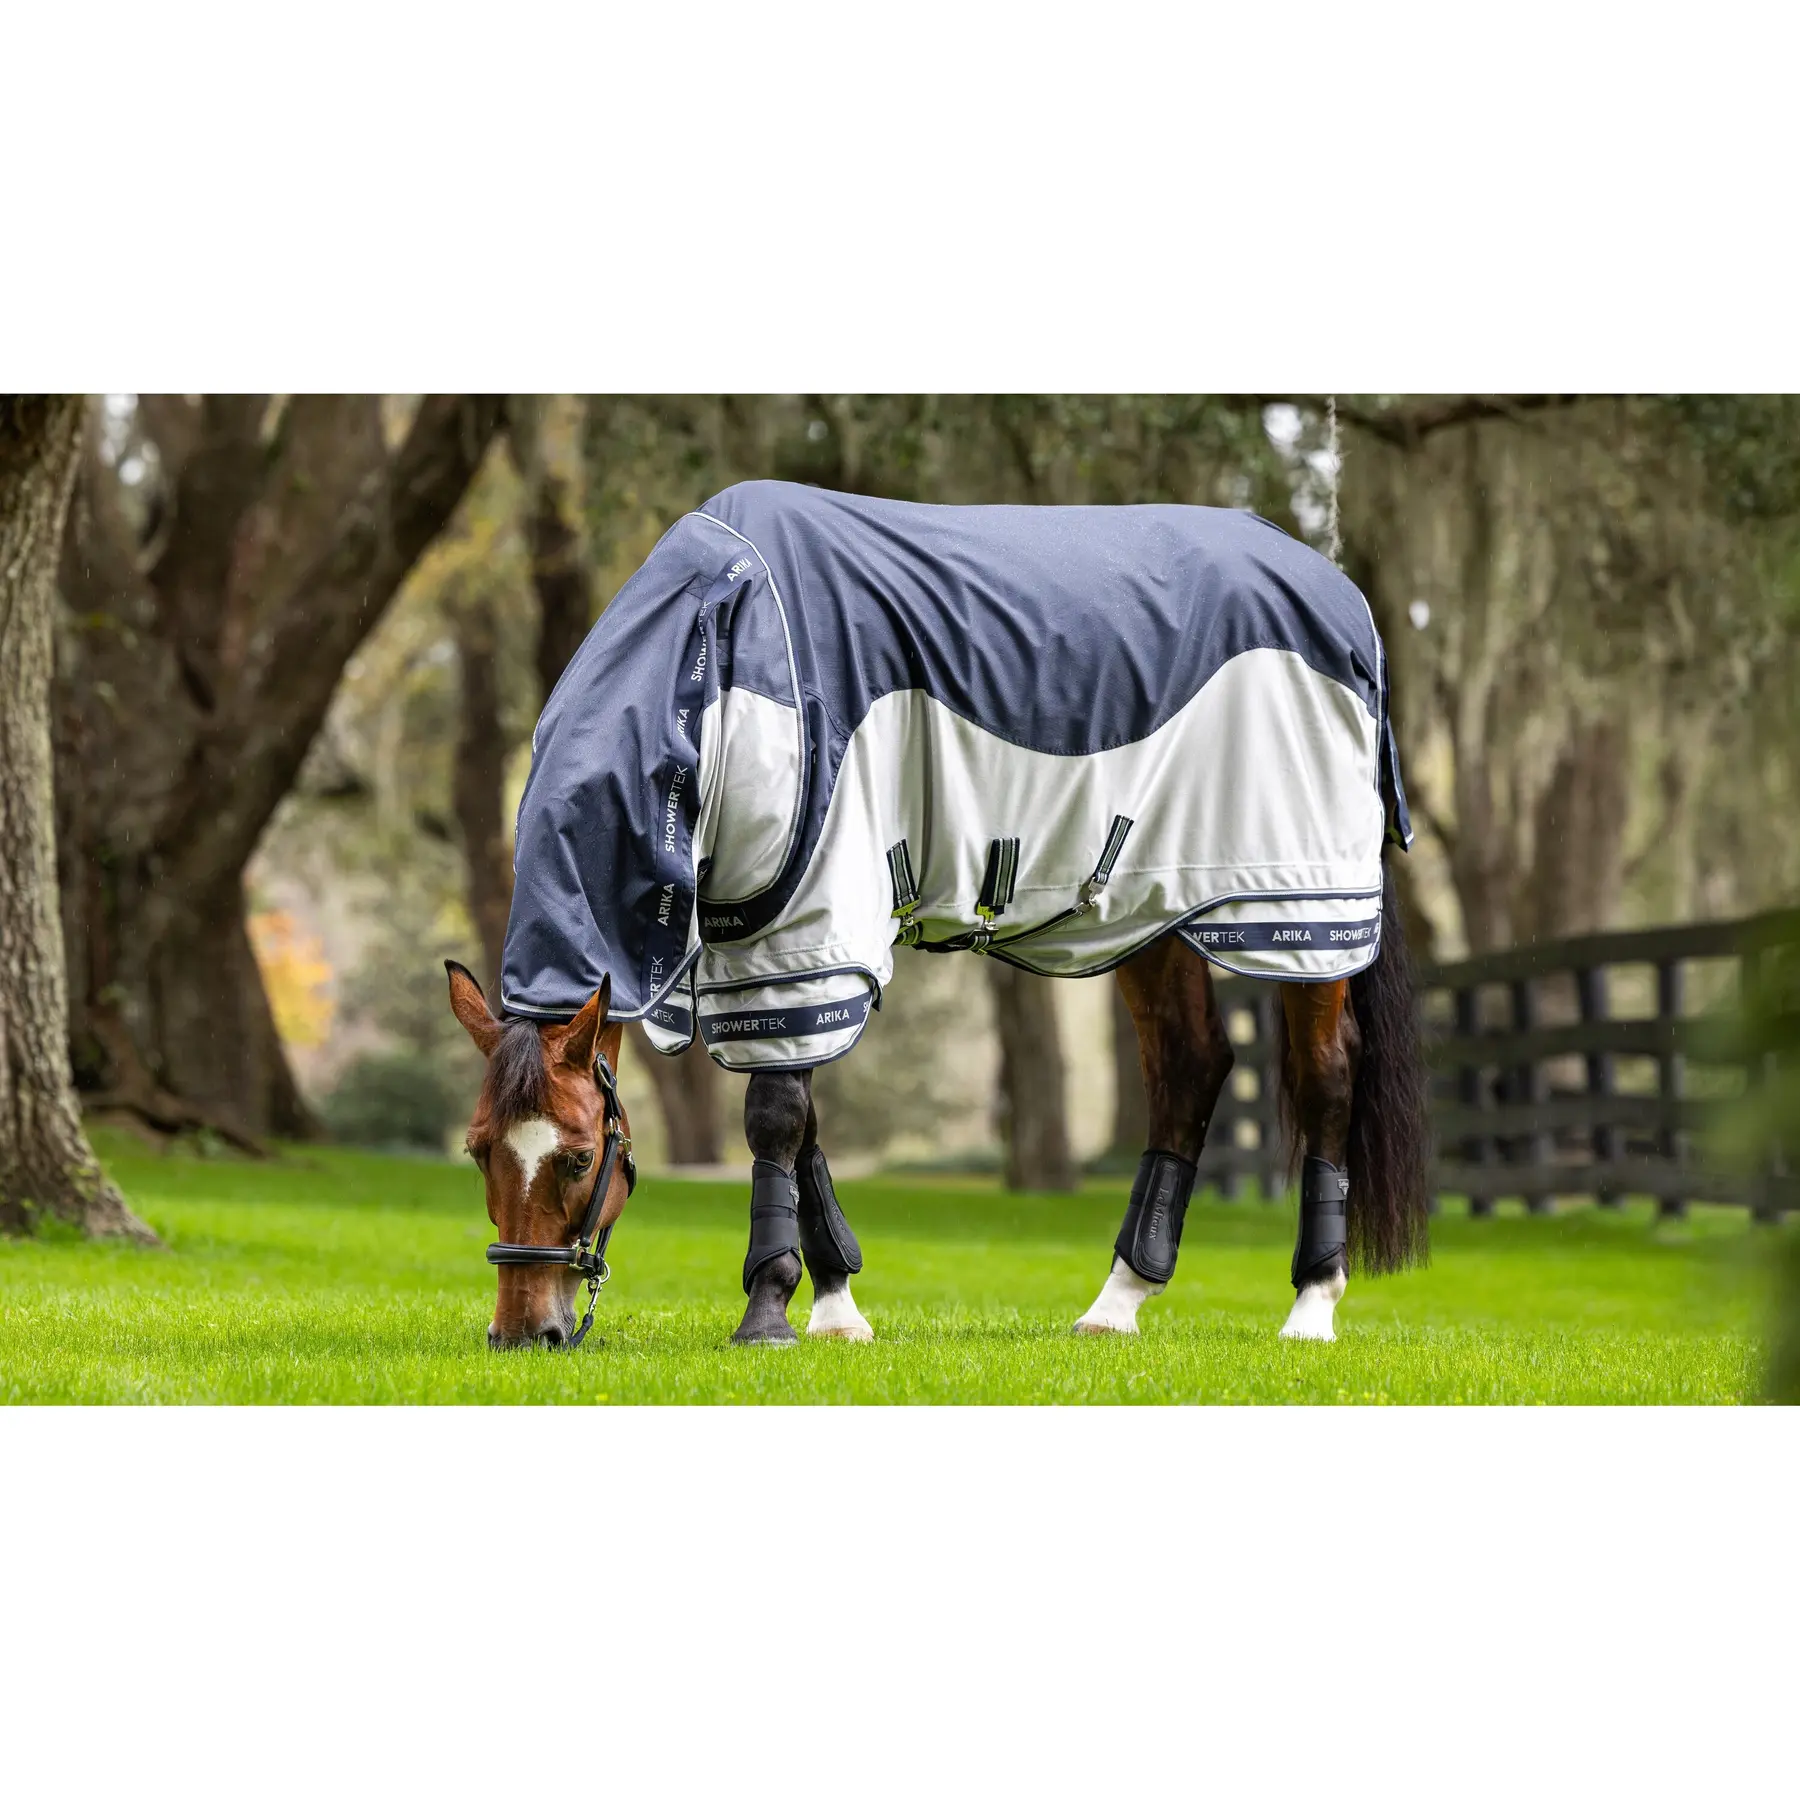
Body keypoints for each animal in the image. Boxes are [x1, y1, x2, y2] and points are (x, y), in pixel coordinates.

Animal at [451, 481, 1432, 1349]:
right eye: (477, 1150)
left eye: (580, 1156)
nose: (526, 1332)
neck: (730, 655)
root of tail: (1339, 593)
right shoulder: (762, 944)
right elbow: (801, 1123)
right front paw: (836, 1307)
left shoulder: (808, 926)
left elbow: (774, 1116)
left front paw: (769, 1312)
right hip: (1155, 906)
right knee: (1190, 1068)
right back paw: (1117, 1304)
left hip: (1298, 909)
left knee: (1325, 1076)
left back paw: (1311, 1307)